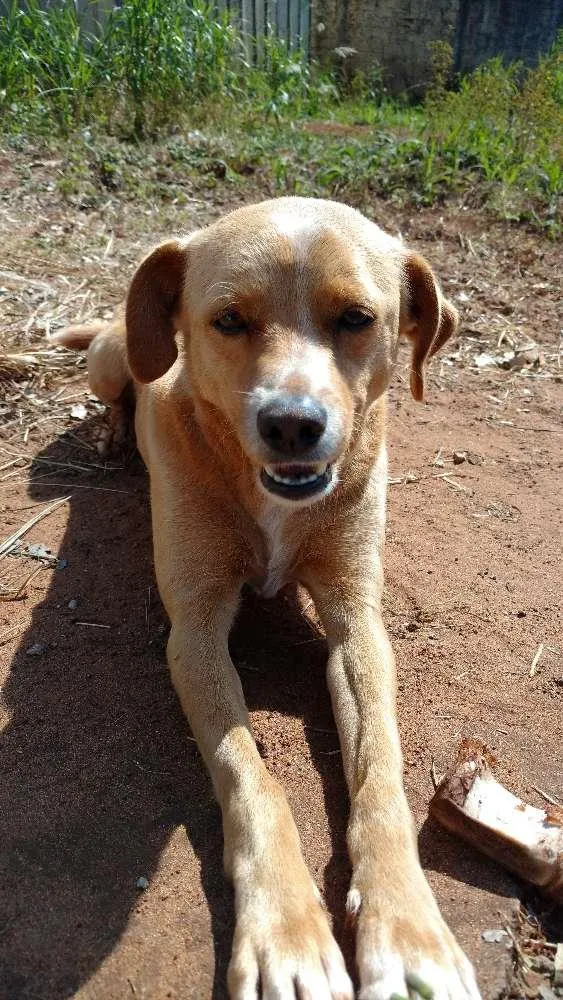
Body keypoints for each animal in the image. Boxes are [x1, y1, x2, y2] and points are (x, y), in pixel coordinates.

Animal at [55, 197, 480, 1000]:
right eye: (228, 320)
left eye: (356, 318)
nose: (292, 424)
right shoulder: (193, 632)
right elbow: (251, 777)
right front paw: (287, 934)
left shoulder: (357, 624)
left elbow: (381, 774)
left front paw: (409, 930)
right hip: (107, 361)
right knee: (116, 391)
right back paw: (115, 434)